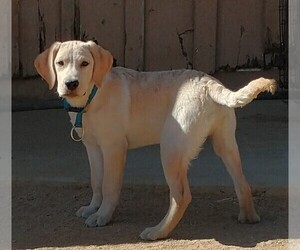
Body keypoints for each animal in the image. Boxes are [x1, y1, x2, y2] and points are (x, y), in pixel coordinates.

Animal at [34, 40, 276, 240]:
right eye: (60, 63)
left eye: (85, 64)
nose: (71, 83)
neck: (93, 96)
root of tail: (210, 84)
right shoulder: (93, 148)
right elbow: (96, 182)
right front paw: (93, 207)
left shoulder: (114, 148)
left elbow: (109, 185)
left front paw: (103, 216)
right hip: (224, 144)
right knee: (241, 181)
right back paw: (249, 217)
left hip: (171, 148)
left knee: (181, 195)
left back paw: (158, 231)